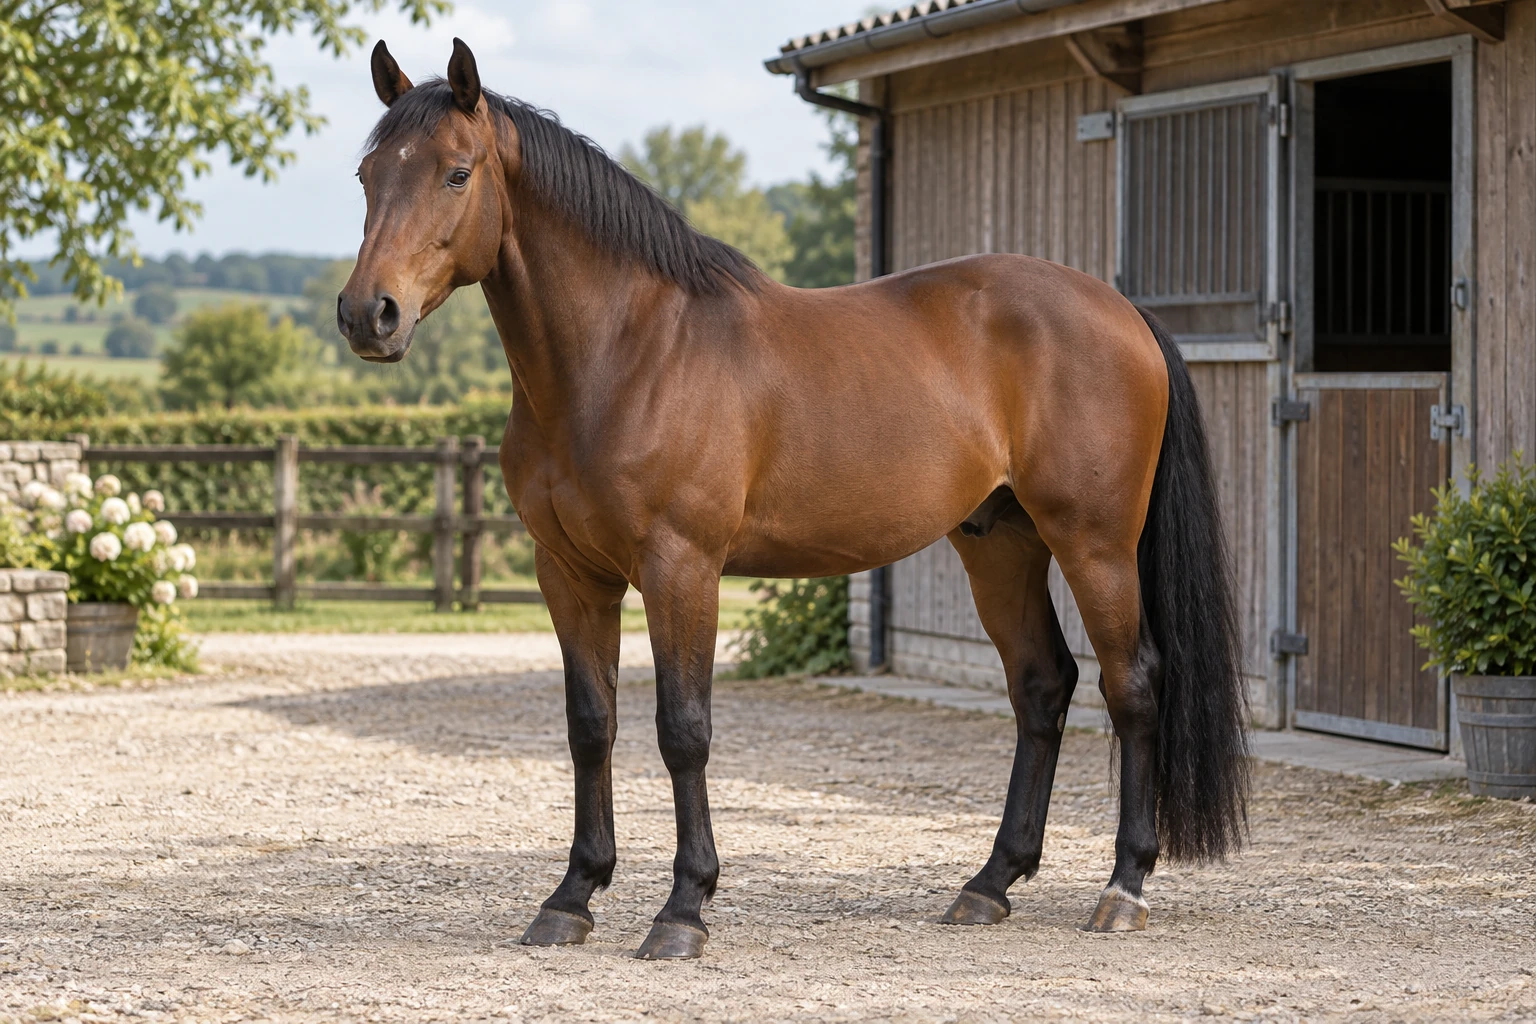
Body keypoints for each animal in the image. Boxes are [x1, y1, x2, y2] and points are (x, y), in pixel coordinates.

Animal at [337, 38, 1249, 961]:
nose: (368, 314)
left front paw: (684, 909)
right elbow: (591, 726)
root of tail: (1121, 311)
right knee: (1042, 685)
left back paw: (1124, 886)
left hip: (1094, 544)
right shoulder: (568, 572)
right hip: (1000, 543)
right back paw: (989, 883)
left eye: (457, 173)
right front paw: (572, 898)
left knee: (1132, 686)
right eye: (367, 173)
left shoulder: (681, 568)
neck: (626, 353)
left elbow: (683, 730)